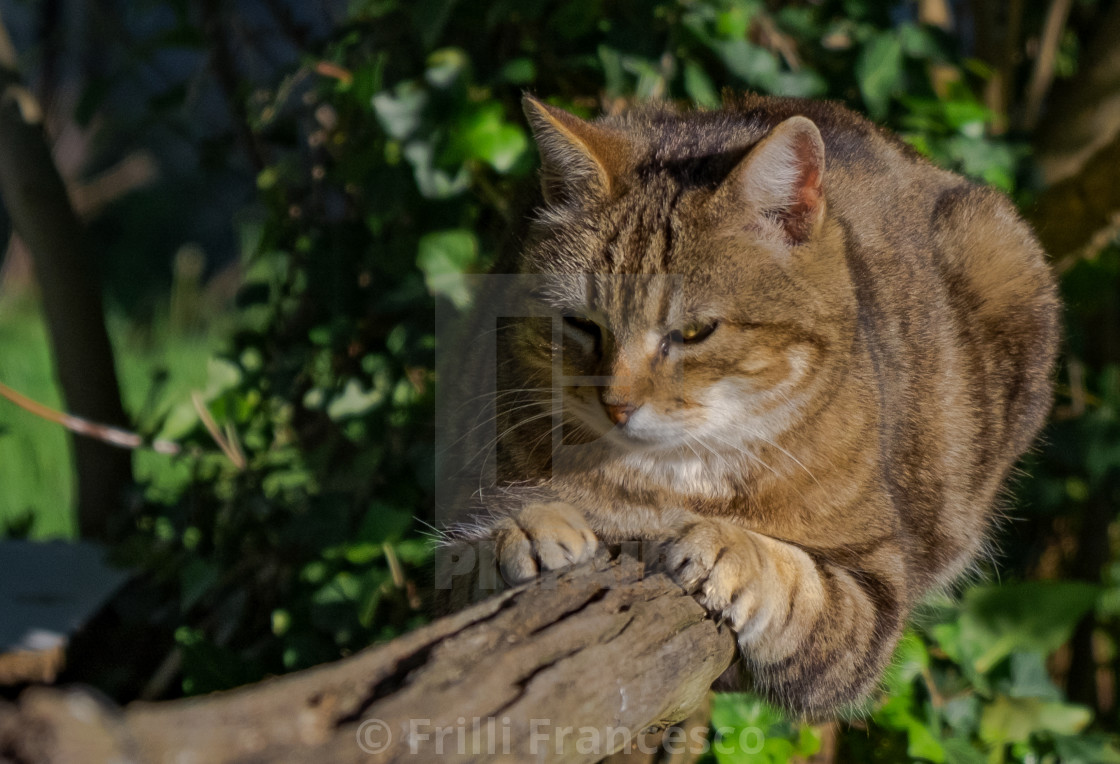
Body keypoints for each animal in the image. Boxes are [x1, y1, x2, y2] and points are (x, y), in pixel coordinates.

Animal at [436, 93, 1057, 712]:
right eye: (582, 324)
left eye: (695, 332)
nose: (616, 404)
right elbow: (478, 555)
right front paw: (528, 531)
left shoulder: (874, 590)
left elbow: (801, 584)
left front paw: (727, 548)